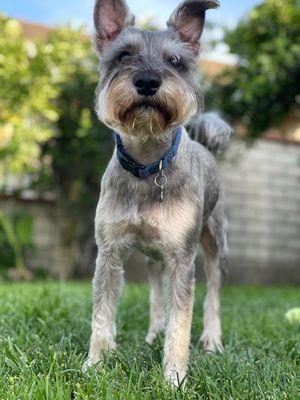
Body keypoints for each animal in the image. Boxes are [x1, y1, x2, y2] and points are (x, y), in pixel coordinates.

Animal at [83, 0, 233, 388]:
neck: (149, 165)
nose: (148, 82)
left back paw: (212, 340)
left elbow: (181, 321)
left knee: (214, 293)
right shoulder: (109, 253)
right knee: (155, 291)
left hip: (214, 246)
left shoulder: (182, 258)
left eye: (175, 61)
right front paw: (95, 363)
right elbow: (102, 314)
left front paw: (174, 377)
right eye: (123, 55)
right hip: (153, 258)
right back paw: (153, 332)